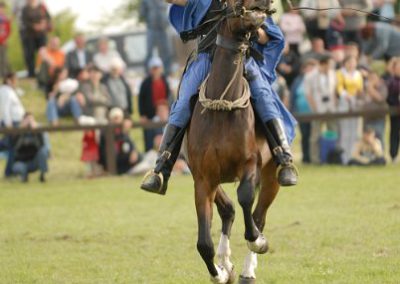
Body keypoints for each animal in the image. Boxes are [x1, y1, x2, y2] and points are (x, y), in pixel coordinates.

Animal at [188, 0, 282, 284]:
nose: (265, 5)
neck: (222, 105)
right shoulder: (203, 178)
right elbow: (203, 242)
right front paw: (219, 272)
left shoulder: (250, 163)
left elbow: (246, 198)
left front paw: (257, 242)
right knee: (228, 210)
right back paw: (225, 262)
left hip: (272, 175)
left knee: (258, 215)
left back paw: (248, 269)